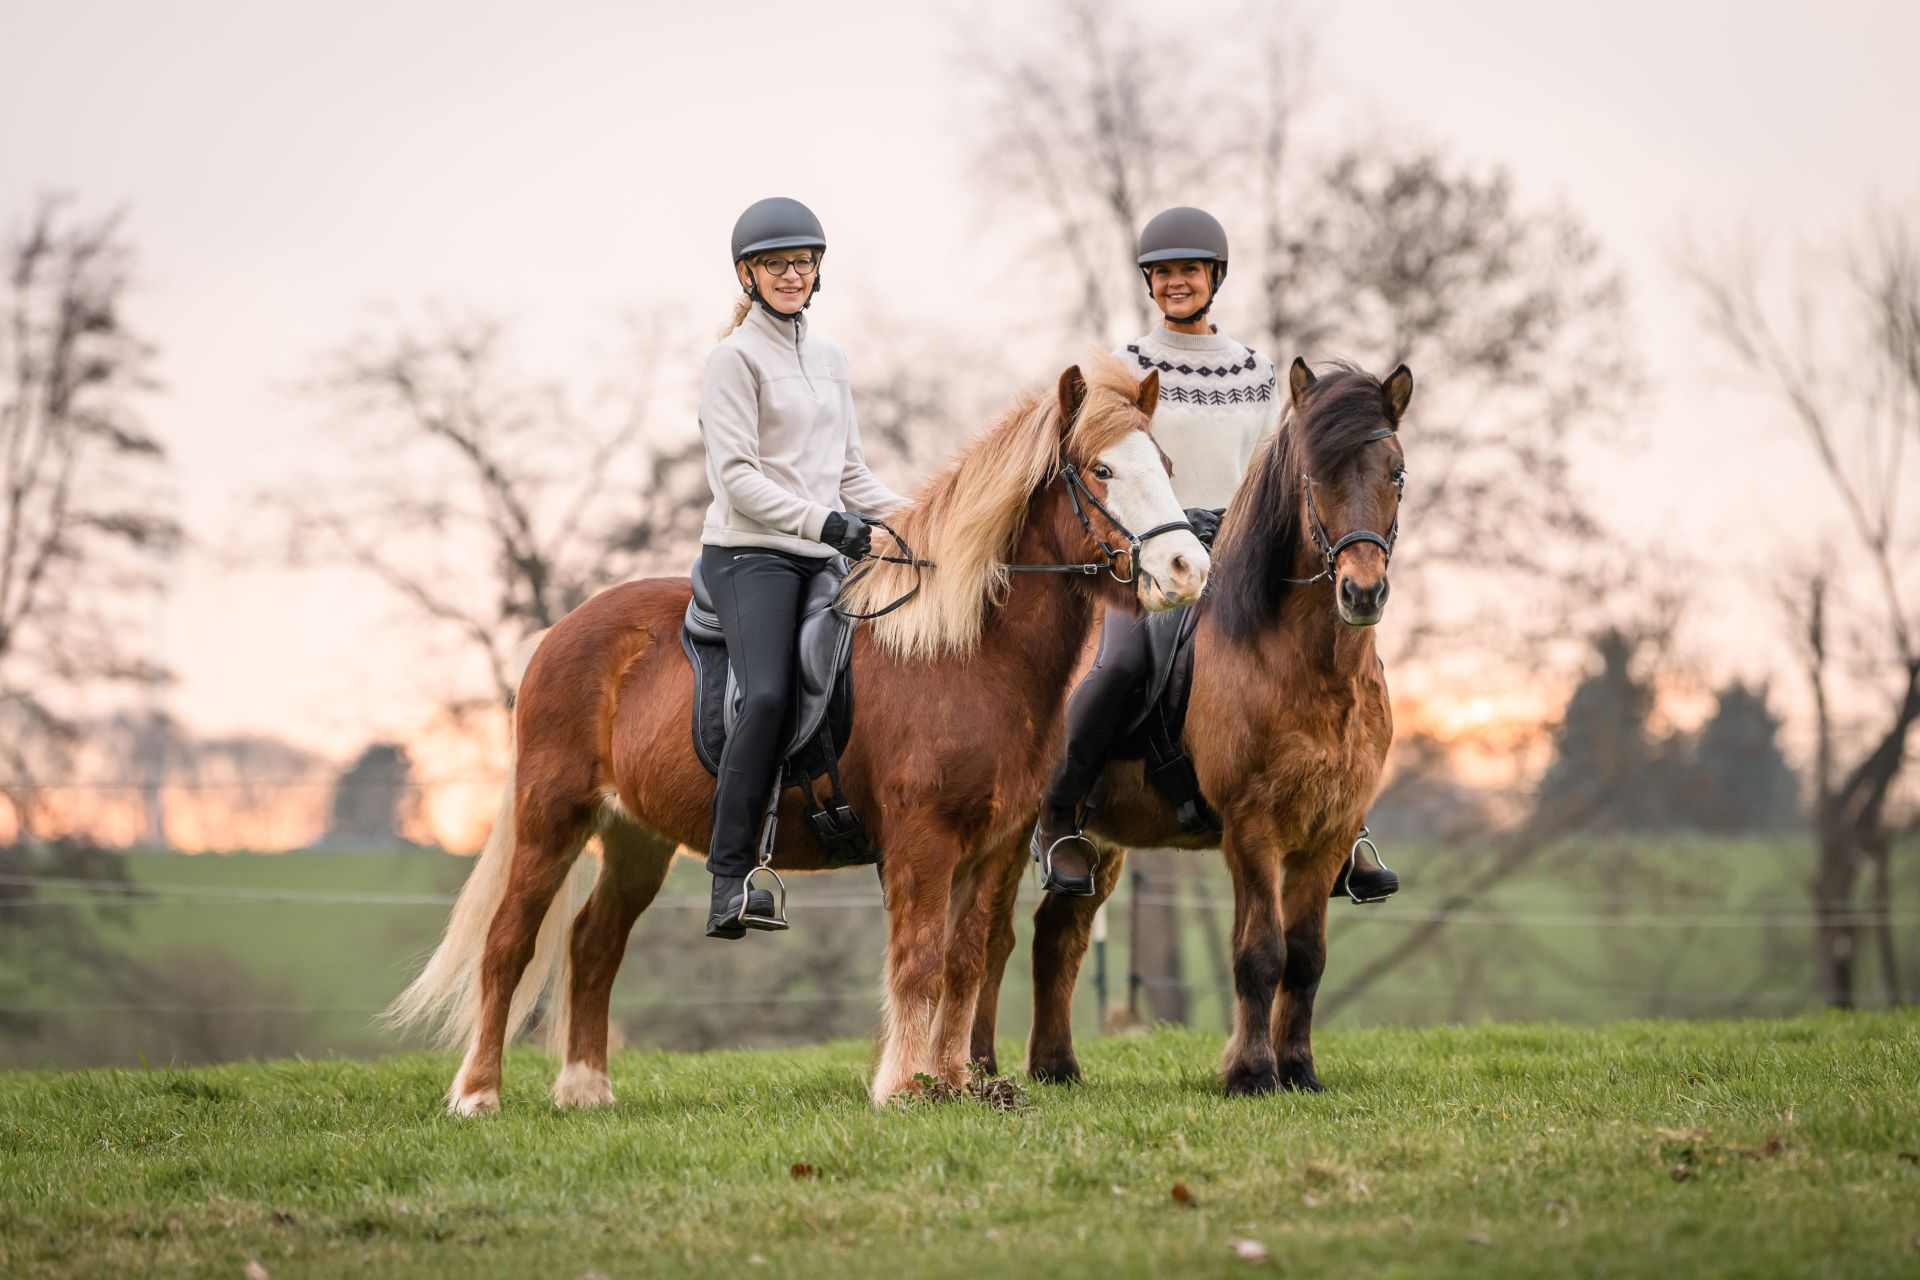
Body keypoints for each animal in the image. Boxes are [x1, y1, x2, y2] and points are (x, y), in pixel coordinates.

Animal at [385, 354, 1210, 1112]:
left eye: (1168, 465)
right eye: (1101, 468)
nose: (1187, 567)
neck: (962, 651)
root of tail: (560, 634)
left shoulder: (996, 847)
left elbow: (966, 961)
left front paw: (950, 1082)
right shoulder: (923, 840)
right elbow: (918, 960)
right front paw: (903, 1087)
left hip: (635, 836)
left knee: (593, 943)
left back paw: (586, 1089)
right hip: (552, 816)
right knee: (508, 944)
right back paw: (477, 1095)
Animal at [963, 358, 1412, 1096]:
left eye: (1396, 473)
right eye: (1314, 477)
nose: (1362, 592)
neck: (1308, 665)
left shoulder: (1328, 832)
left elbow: (1307, 957)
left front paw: (1299, 1070)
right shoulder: (1252, 828)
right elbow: (1260, 953)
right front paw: (1251, 1073)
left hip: (1097, 843)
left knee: (1059, 935)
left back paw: (1056, 1068)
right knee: (989, 938)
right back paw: (977, 1066)